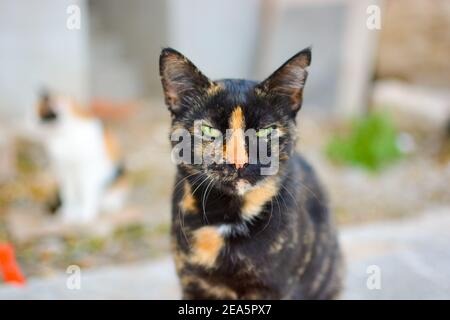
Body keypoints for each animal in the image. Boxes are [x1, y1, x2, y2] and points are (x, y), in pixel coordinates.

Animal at [33, 92, 126, 222]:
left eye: (39, 118)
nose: (29, 124)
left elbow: (87, 193)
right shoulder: (65, 171)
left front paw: (86, 216)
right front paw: (68, 213)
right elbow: (68, 195)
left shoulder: (87, 171)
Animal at [160, 47, 342, 300]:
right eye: (209, 130)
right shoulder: (192, 283)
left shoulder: (276, 287)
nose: (239, 162)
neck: (226, 216)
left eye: (264, 131)